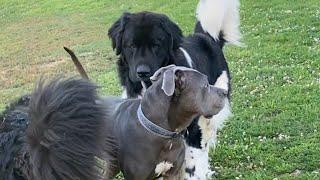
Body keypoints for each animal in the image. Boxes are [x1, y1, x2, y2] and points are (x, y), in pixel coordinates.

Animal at [107, 0, 240, 178]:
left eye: (156, 45)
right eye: (131, 45)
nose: (142, 72)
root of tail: (206, 37)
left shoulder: (192, 132)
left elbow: (192, 167)